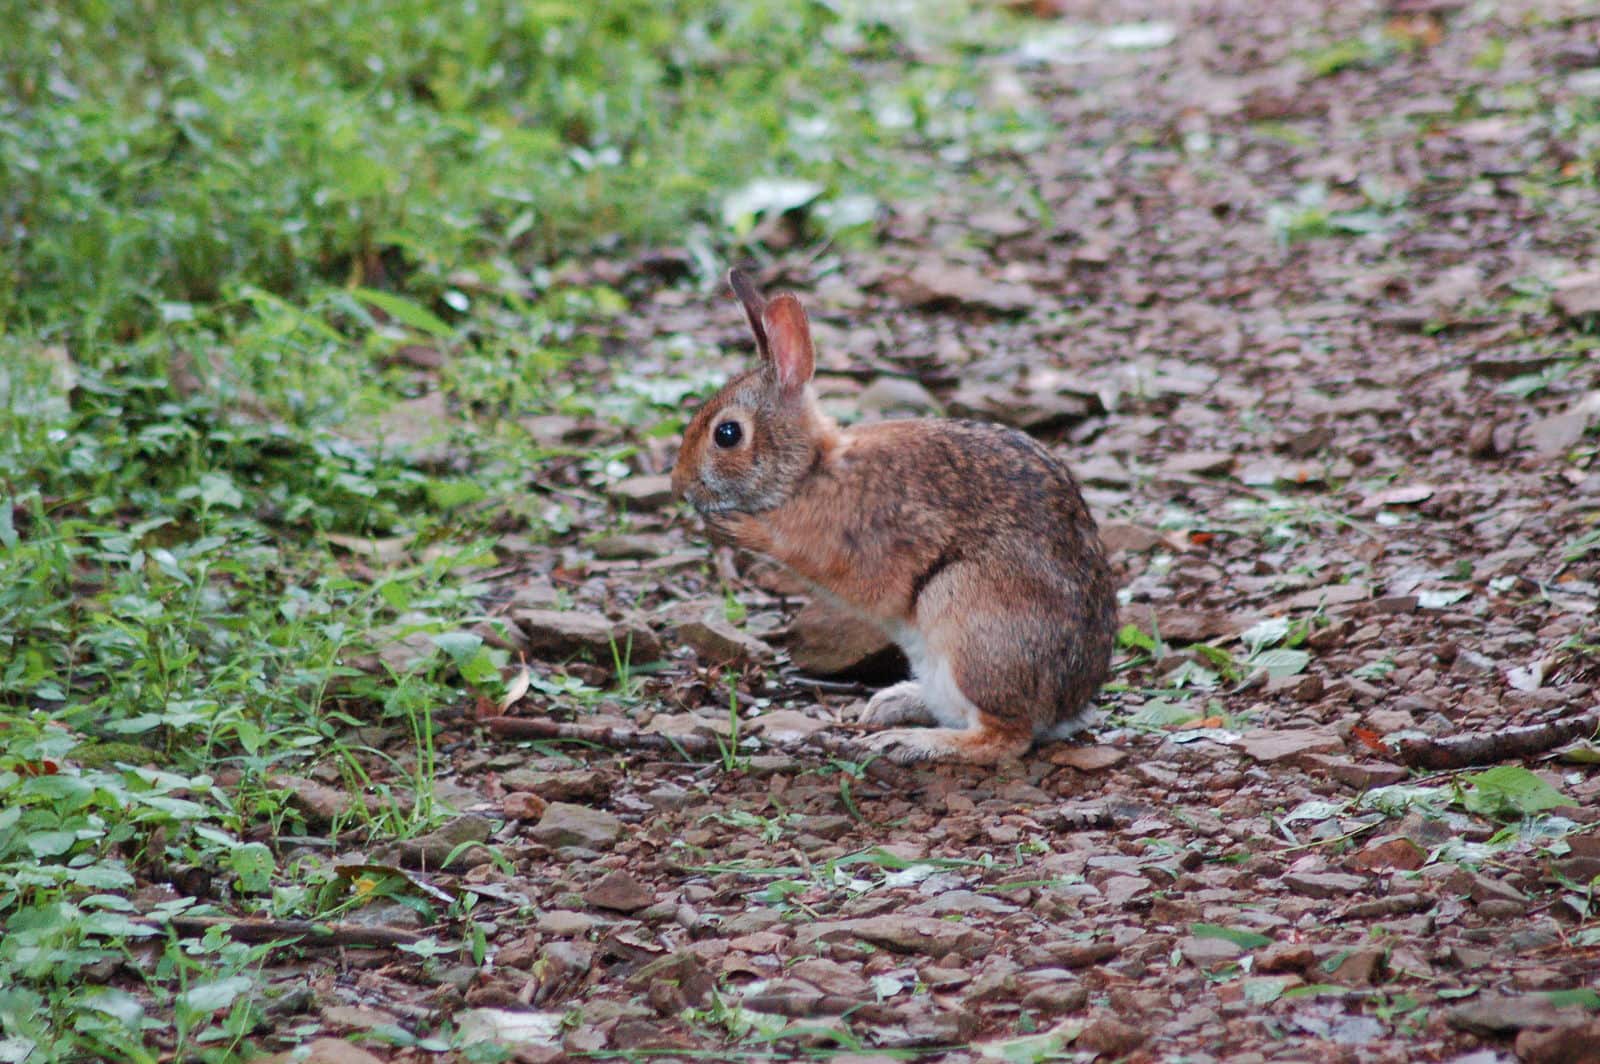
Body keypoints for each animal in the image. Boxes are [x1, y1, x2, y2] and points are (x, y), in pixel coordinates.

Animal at [672, 267, 1113, 764]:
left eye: (727, 434)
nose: (678, 485)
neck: (810, 470)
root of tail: (1068, 706)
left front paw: (737, 527)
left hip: (967, 616)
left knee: (1005, 737)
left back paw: (911, 741)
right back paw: (894, 704)